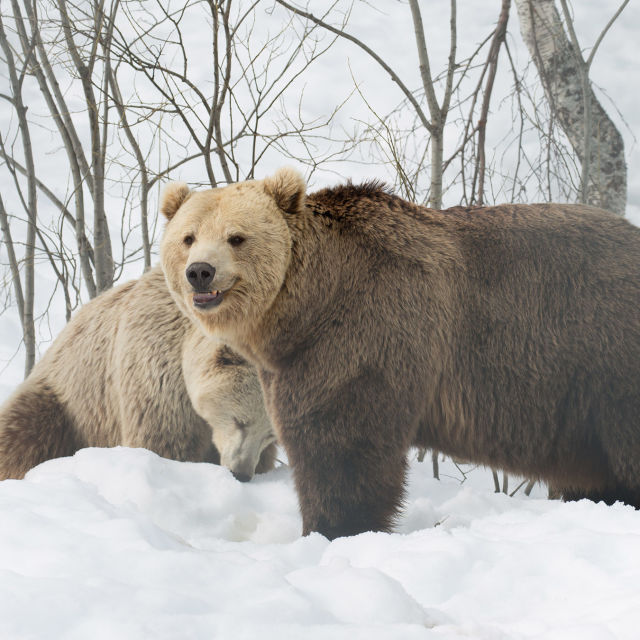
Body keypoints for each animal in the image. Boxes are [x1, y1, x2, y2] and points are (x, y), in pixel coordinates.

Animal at [0, 265, 276, 482]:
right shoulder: (159, 376)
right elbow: (164, 442)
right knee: (23, 432)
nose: (240, 473)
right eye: (238, 420)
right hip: (68, 401)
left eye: (269, 434)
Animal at [159, 168, 640, 540]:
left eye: (236, 237)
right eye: (188, 237)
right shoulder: (293, 361)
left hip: (605, 351)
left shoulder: (365, 333)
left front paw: (336, 527)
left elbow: (342, 442)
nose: (200, 272)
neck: (303, 307)